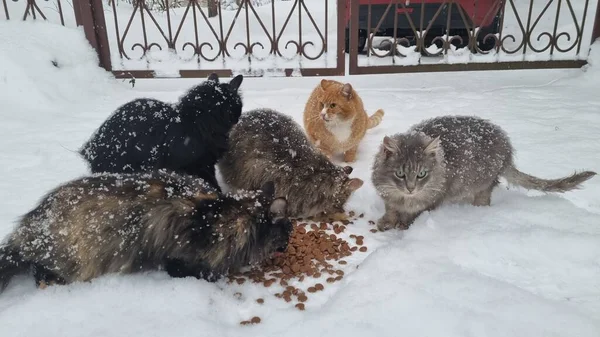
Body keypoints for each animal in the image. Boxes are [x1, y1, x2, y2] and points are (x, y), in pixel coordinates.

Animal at [0, 169, 290, 290]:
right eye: (286, 233)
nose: (287, 246)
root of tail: (29, 228)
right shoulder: (180, 260)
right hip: (74, 258)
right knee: (39, 269)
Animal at [370, 114, 596, 230]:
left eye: (421, 174)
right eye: (400, 174)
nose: (411, 188)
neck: (405, 199)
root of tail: (506, 146)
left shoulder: (434, 199)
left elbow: (415, 214)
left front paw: (405, 225)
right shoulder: (388, 197)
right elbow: (390, 210)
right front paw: (387, 221)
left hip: (483, 183)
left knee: (484, 198)